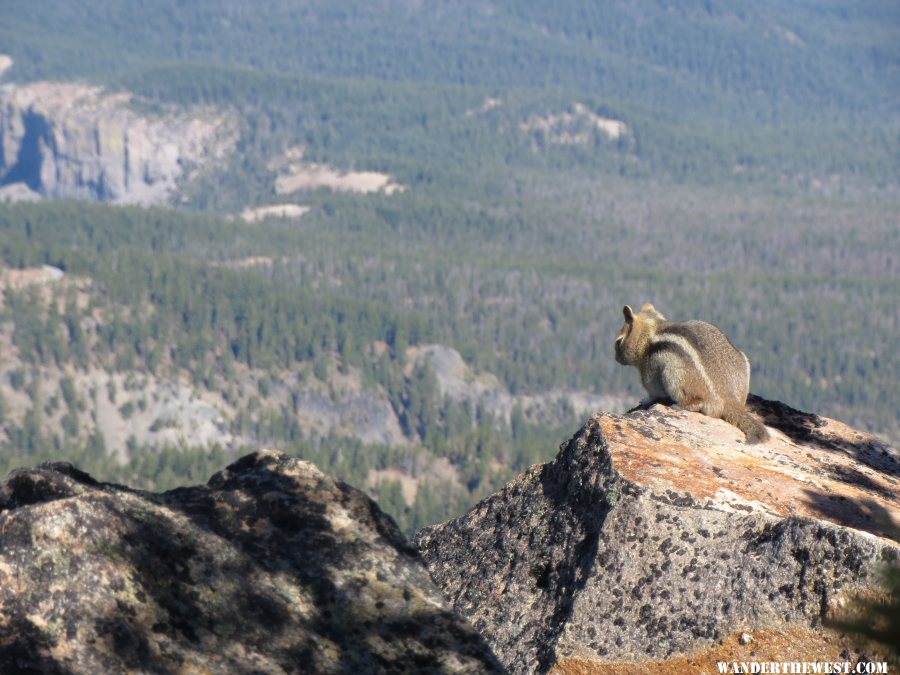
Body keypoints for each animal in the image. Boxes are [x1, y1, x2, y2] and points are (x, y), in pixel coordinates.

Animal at [616, 304, 768, 444]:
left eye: (618, 341)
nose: (616, 358)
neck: (652, 333)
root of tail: (729, 400)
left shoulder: (649, 369)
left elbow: (654, 391)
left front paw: (645, 400)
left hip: (675, 377)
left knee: (696, 403)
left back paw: (678, 405)